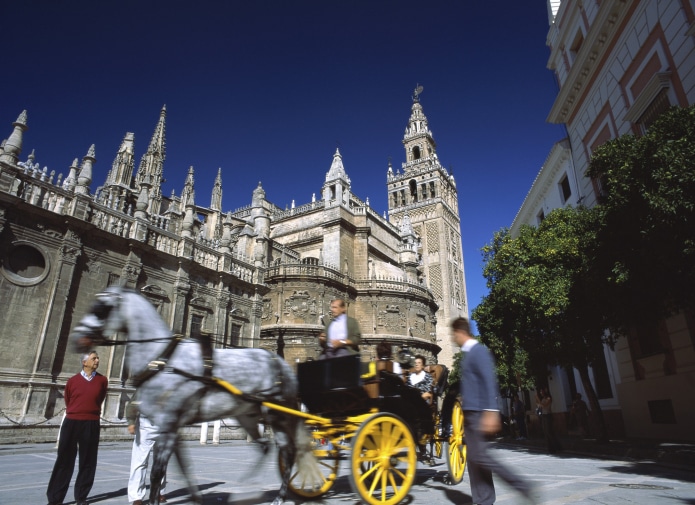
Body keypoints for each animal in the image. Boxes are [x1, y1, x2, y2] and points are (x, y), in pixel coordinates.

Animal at [72, 286, 316, 502]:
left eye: (101, 308)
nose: (78, 337)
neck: (164, 357)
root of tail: (281, 365)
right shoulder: (170, 426)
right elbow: (178, 468)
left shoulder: (169, 423)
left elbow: (158, 473)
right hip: (247, 414)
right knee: (267, 447)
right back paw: (247, 489)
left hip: (277, 414)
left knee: (288, 452)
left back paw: (276, 496)